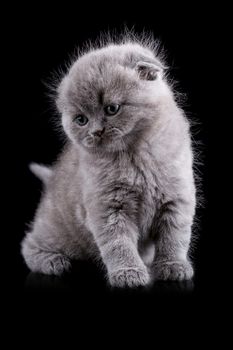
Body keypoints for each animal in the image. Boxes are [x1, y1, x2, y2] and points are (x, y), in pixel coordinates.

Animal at [21, 33, 197, 288]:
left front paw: (173, 265)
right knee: (29, 243)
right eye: (81, 119)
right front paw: (128, 272)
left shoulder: (176, 198)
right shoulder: (107, 207)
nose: (96, 131)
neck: (135, 156)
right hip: (58, 232)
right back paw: (52, 261)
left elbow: (174, 237)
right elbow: (118, 243)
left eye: (112, 108)